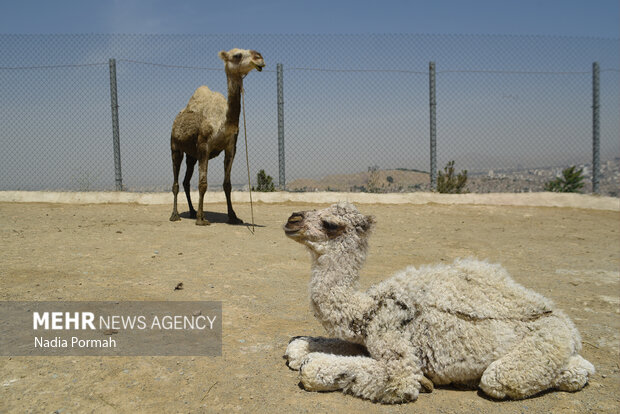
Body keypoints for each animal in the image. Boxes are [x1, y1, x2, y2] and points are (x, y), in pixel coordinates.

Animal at [170, 49, 264, 226]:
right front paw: (201, 219)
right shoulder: (204, 146)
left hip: (191, 155)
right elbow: (203, 184)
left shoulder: (231, 147)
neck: (223, 123)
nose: (259, 58)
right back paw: (175, 215)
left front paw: (233, 216)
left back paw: (192, 211)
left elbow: (227, 184)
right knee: (176, 182)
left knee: (186, 181)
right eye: (237, 55)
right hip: (175, 146)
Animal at [284, 204, 592, 404]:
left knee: (504, 378)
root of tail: (569, 326)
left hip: (545, 343)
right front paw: (300, 350)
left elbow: (397, 378)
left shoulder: (391, 338)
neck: (366, 310)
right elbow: (297, 346)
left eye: (331, 224)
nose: (292, 219)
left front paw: (422, 383)